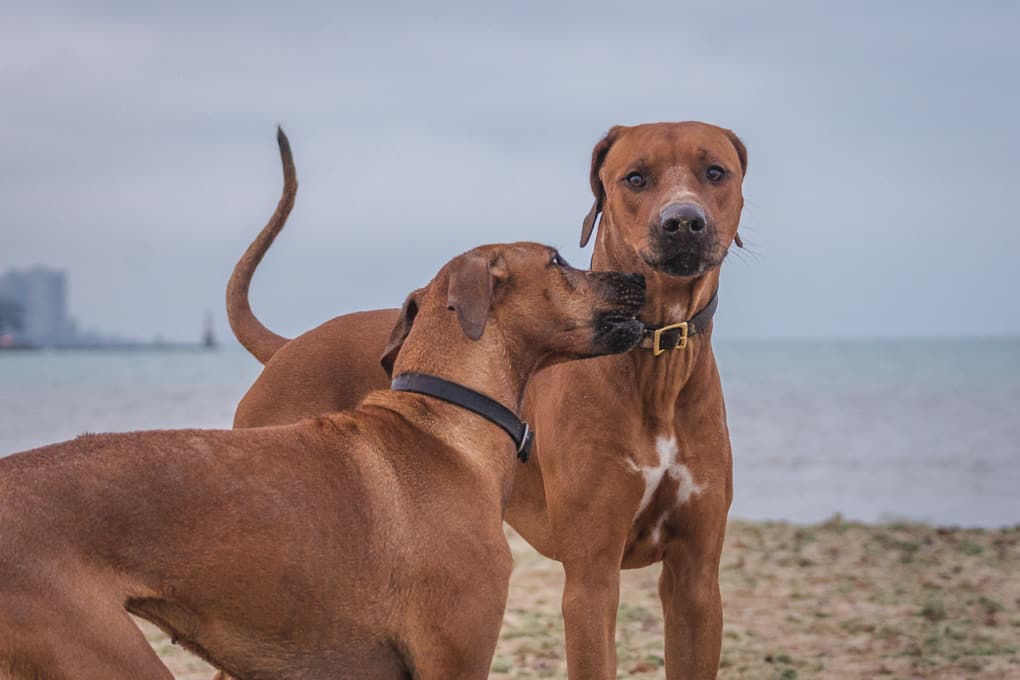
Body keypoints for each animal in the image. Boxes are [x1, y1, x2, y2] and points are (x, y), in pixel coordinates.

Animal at [227, 123, 746, 680]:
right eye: (635, 178)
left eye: (715, 172)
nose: (683, 221)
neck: (656, 371)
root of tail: (287, 347)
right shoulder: (592, 579)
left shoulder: (696, 582)